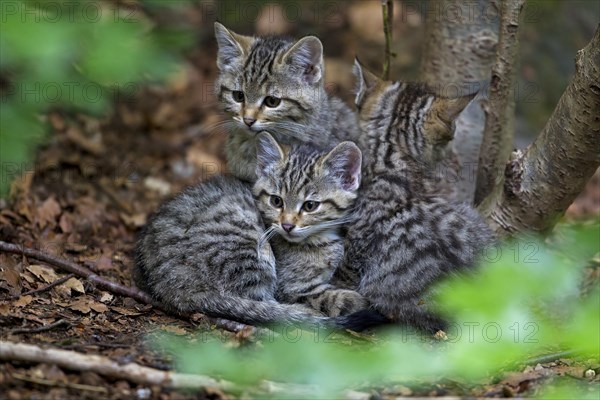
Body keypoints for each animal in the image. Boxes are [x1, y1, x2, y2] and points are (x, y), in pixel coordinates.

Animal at [252, 133, 368, 318]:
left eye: (310, 206)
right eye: (276, 201)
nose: (287, 225)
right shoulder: (292, 288)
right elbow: (331, 298)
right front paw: (358, 301)